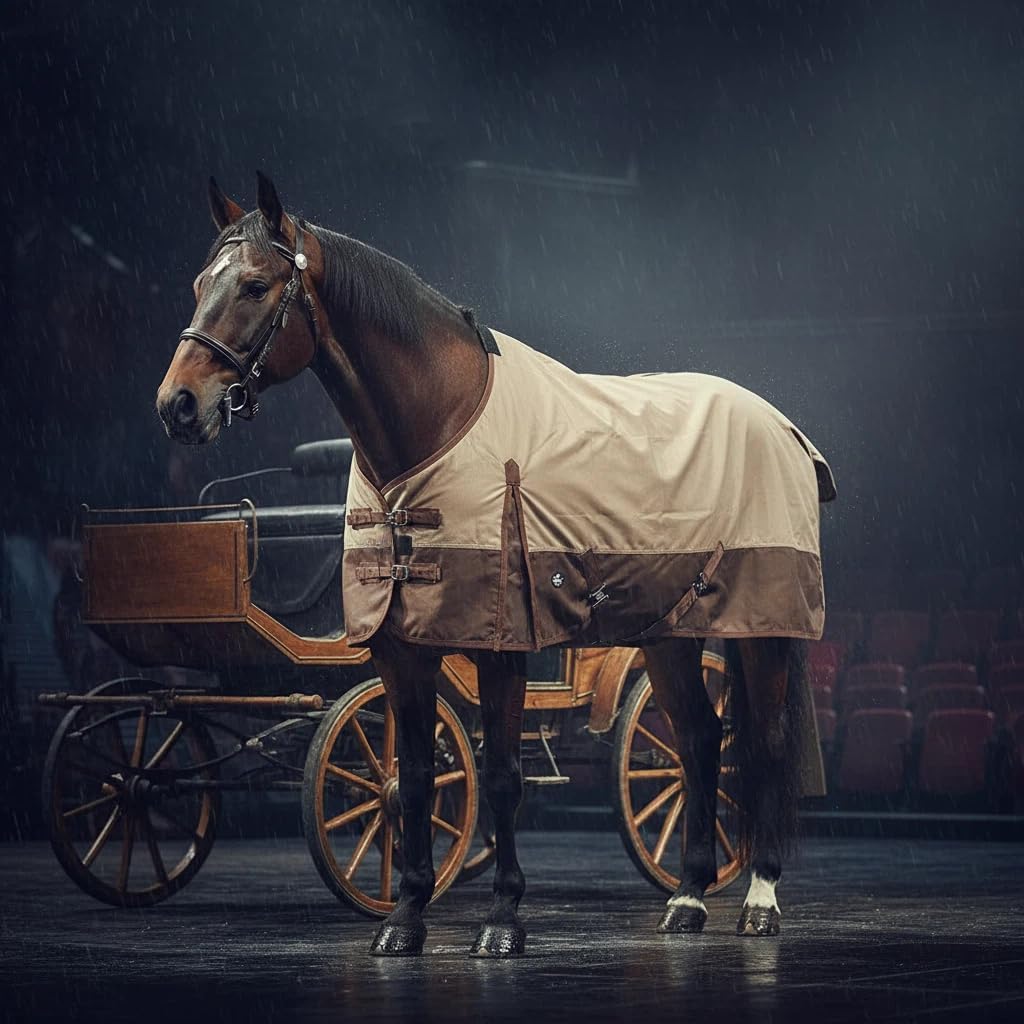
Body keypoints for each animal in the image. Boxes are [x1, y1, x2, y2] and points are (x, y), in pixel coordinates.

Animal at [157, 173, 835, 957]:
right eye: (199, 282)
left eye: (257, 286)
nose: (178, 405)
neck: (442, 425)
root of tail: (782, 426)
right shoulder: (401, 648)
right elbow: (416, 777)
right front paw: (405, 917)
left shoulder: (501, 645)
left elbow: (503, 774)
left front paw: (503, 919)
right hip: (669, 634)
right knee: (698, 741)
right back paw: (689, 898)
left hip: (763, 629)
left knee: (764, 745)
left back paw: (760, 899)